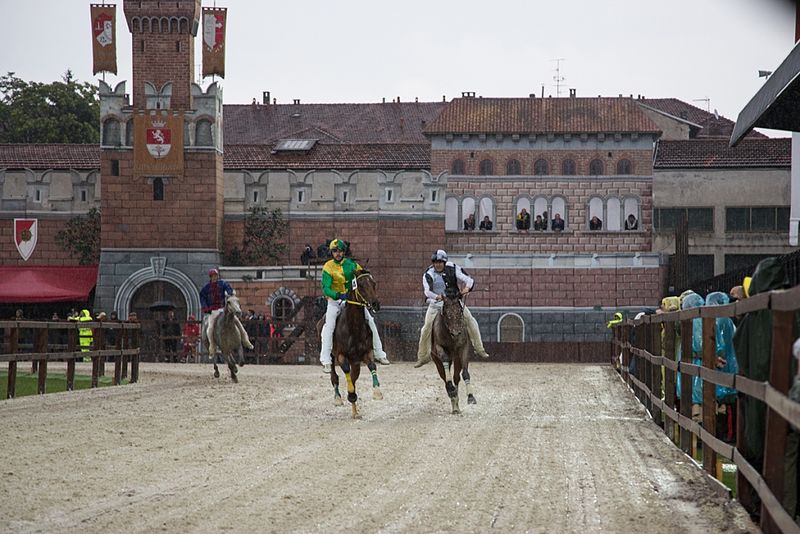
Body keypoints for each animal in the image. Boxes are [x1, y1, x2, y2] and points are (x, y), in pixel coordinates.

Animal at [316, 272, 384, 418]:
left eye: (374, 283)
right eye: (361, 285)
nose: (375, 304)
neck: (354, 328)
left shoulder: (366, 352)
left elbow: (372, 366)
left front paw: (377, 392)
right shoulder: (341, 355)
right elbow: (346, 371)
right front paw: (351, 395)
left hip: (356, 362)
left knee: (353, 377)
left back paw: (354, 411)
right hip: (331, 354)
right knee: (334, 376)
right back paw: (338, 398)